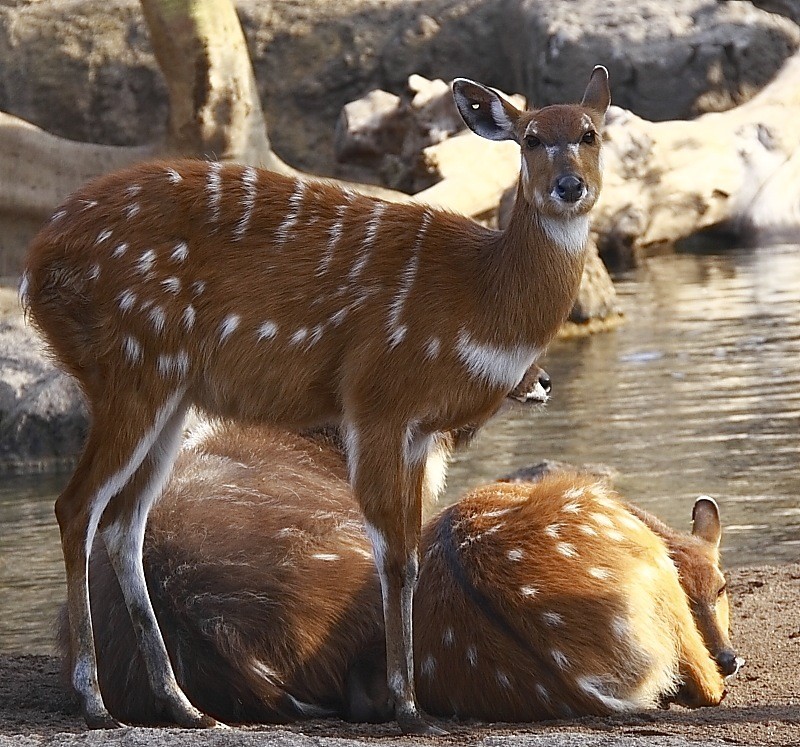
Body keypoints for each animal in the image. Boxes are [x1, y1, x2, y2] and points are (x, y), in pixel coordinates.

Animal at [26, 67, 612, 732]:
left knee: (123, 524)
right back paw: (95, 701)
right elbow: (395, 558)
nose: (569, 187)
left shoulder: (416, 430)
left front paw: (410, 700)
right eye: (531, 138)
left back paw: (184, 706)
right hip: (128, 370)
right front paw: (409, 707)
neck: (477, 302)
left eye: (590, 133)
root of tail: (34, 266)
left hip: (171, 394)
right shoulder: (377, 400)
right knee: (77, 506)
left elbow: (411, 557)